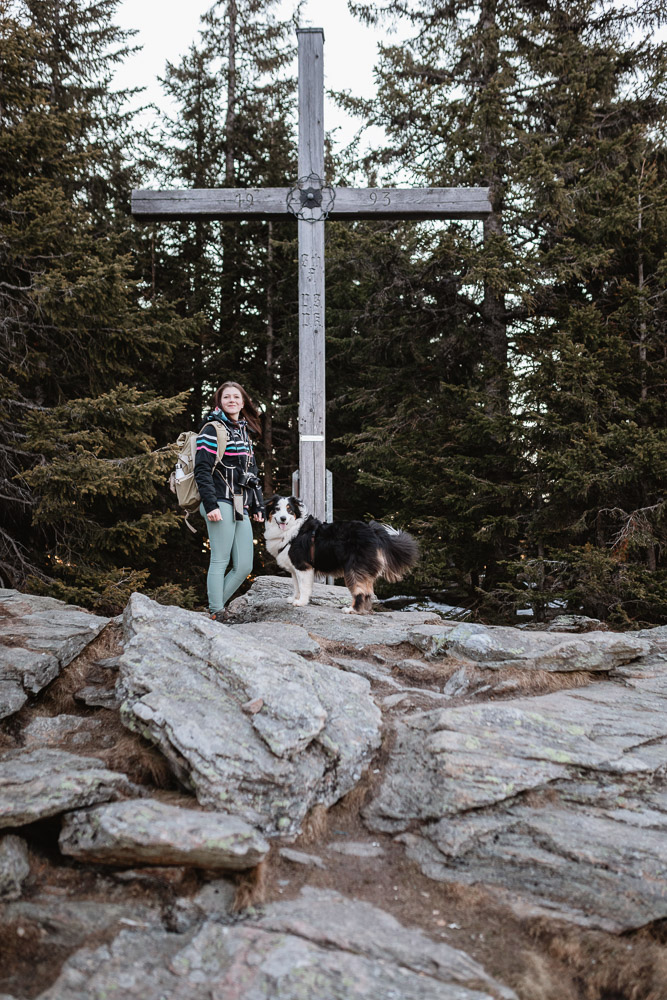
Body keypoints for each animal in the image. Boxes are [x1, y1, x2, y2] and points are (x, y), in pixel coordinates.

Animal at [264, 496, 418, 612]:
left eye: (289, 510)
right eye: (276, 509)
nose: (283, 518)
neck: (292, 530)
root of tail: (374, 532)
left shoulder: (303, 566)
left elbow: (303, 587)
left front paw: (301, 602)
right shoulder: (295, 568)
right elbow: (296, 586)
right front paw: (294, 599)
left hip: (353, 567)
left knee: (360, 590)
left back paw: (352, 610)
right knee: (368, 591)